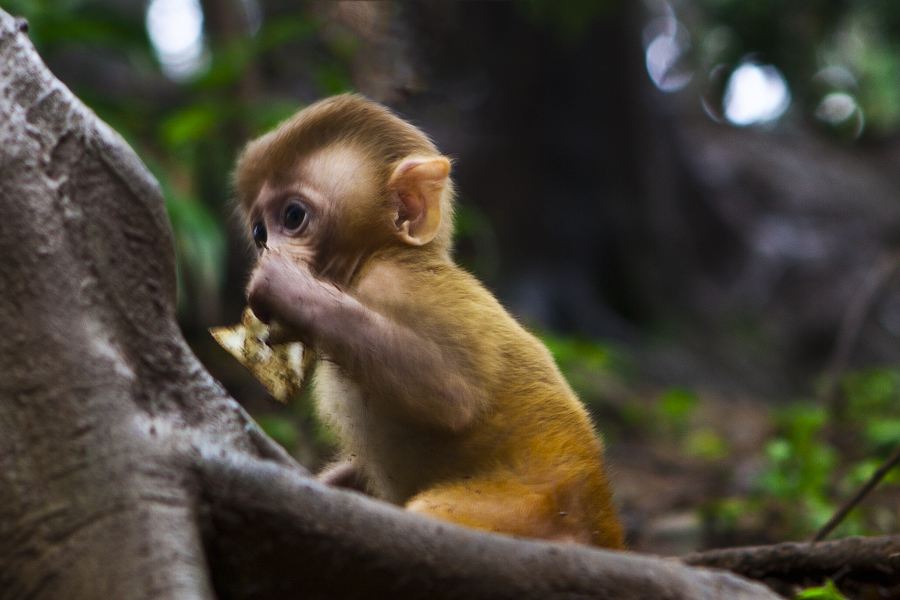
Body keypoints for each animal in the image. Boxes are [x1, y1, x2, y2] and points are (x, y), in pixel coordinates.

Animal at [236, 95, 624, 548]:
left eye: (293, 217)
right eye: (260, 233)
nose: (268, 252)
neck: (373, 259)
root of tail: (605, 524)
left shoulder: (399, 285)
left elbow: (451, 394)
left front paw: (288, 289)